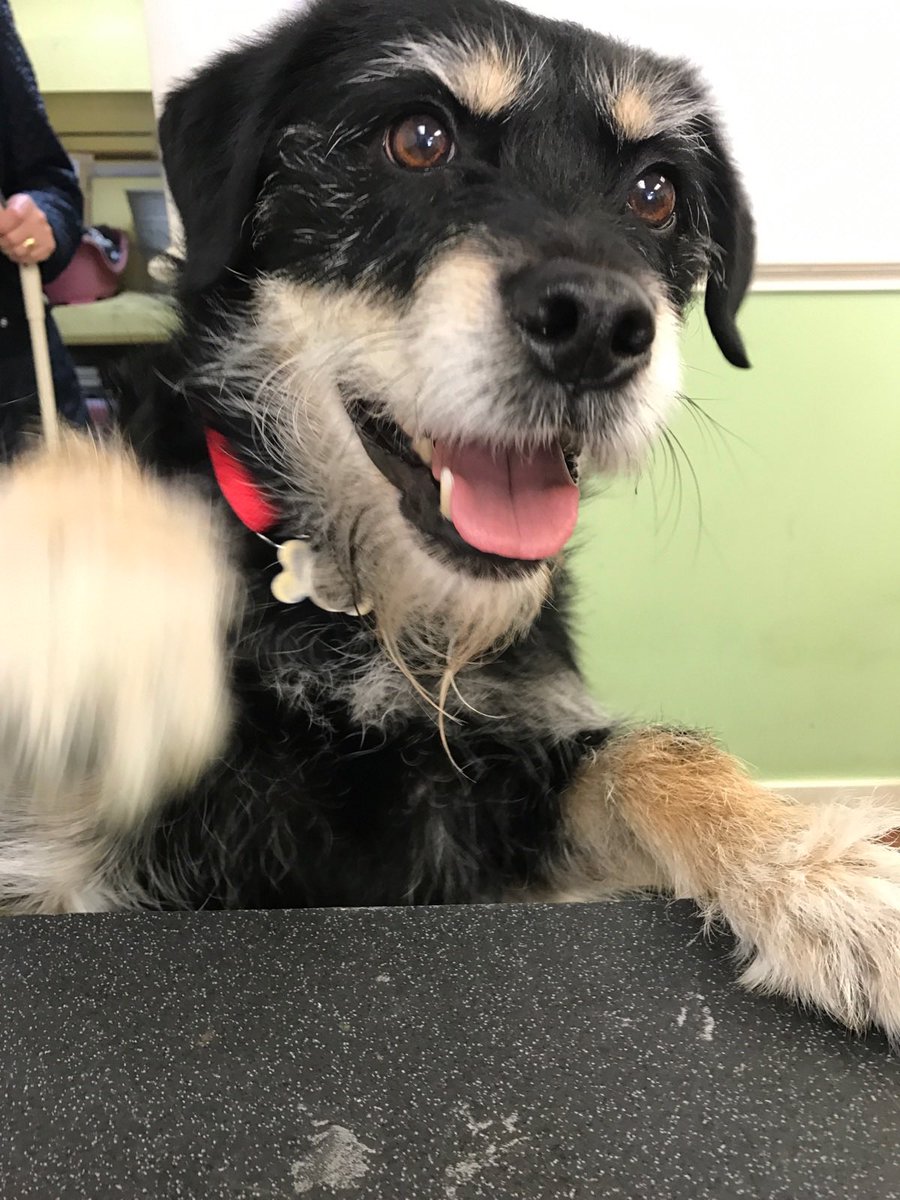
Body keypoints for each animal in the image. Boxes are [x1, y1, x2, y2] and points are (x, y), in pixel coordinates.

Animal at [1, 0, 900, 1036]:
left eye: (656, 191)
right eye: (418, 139)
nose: (598, 327)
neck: (359, 611)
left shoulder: (491, 806)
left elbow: (652, 752)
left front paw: (824, 866)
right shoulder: (59, 860)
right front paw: (83, 596)